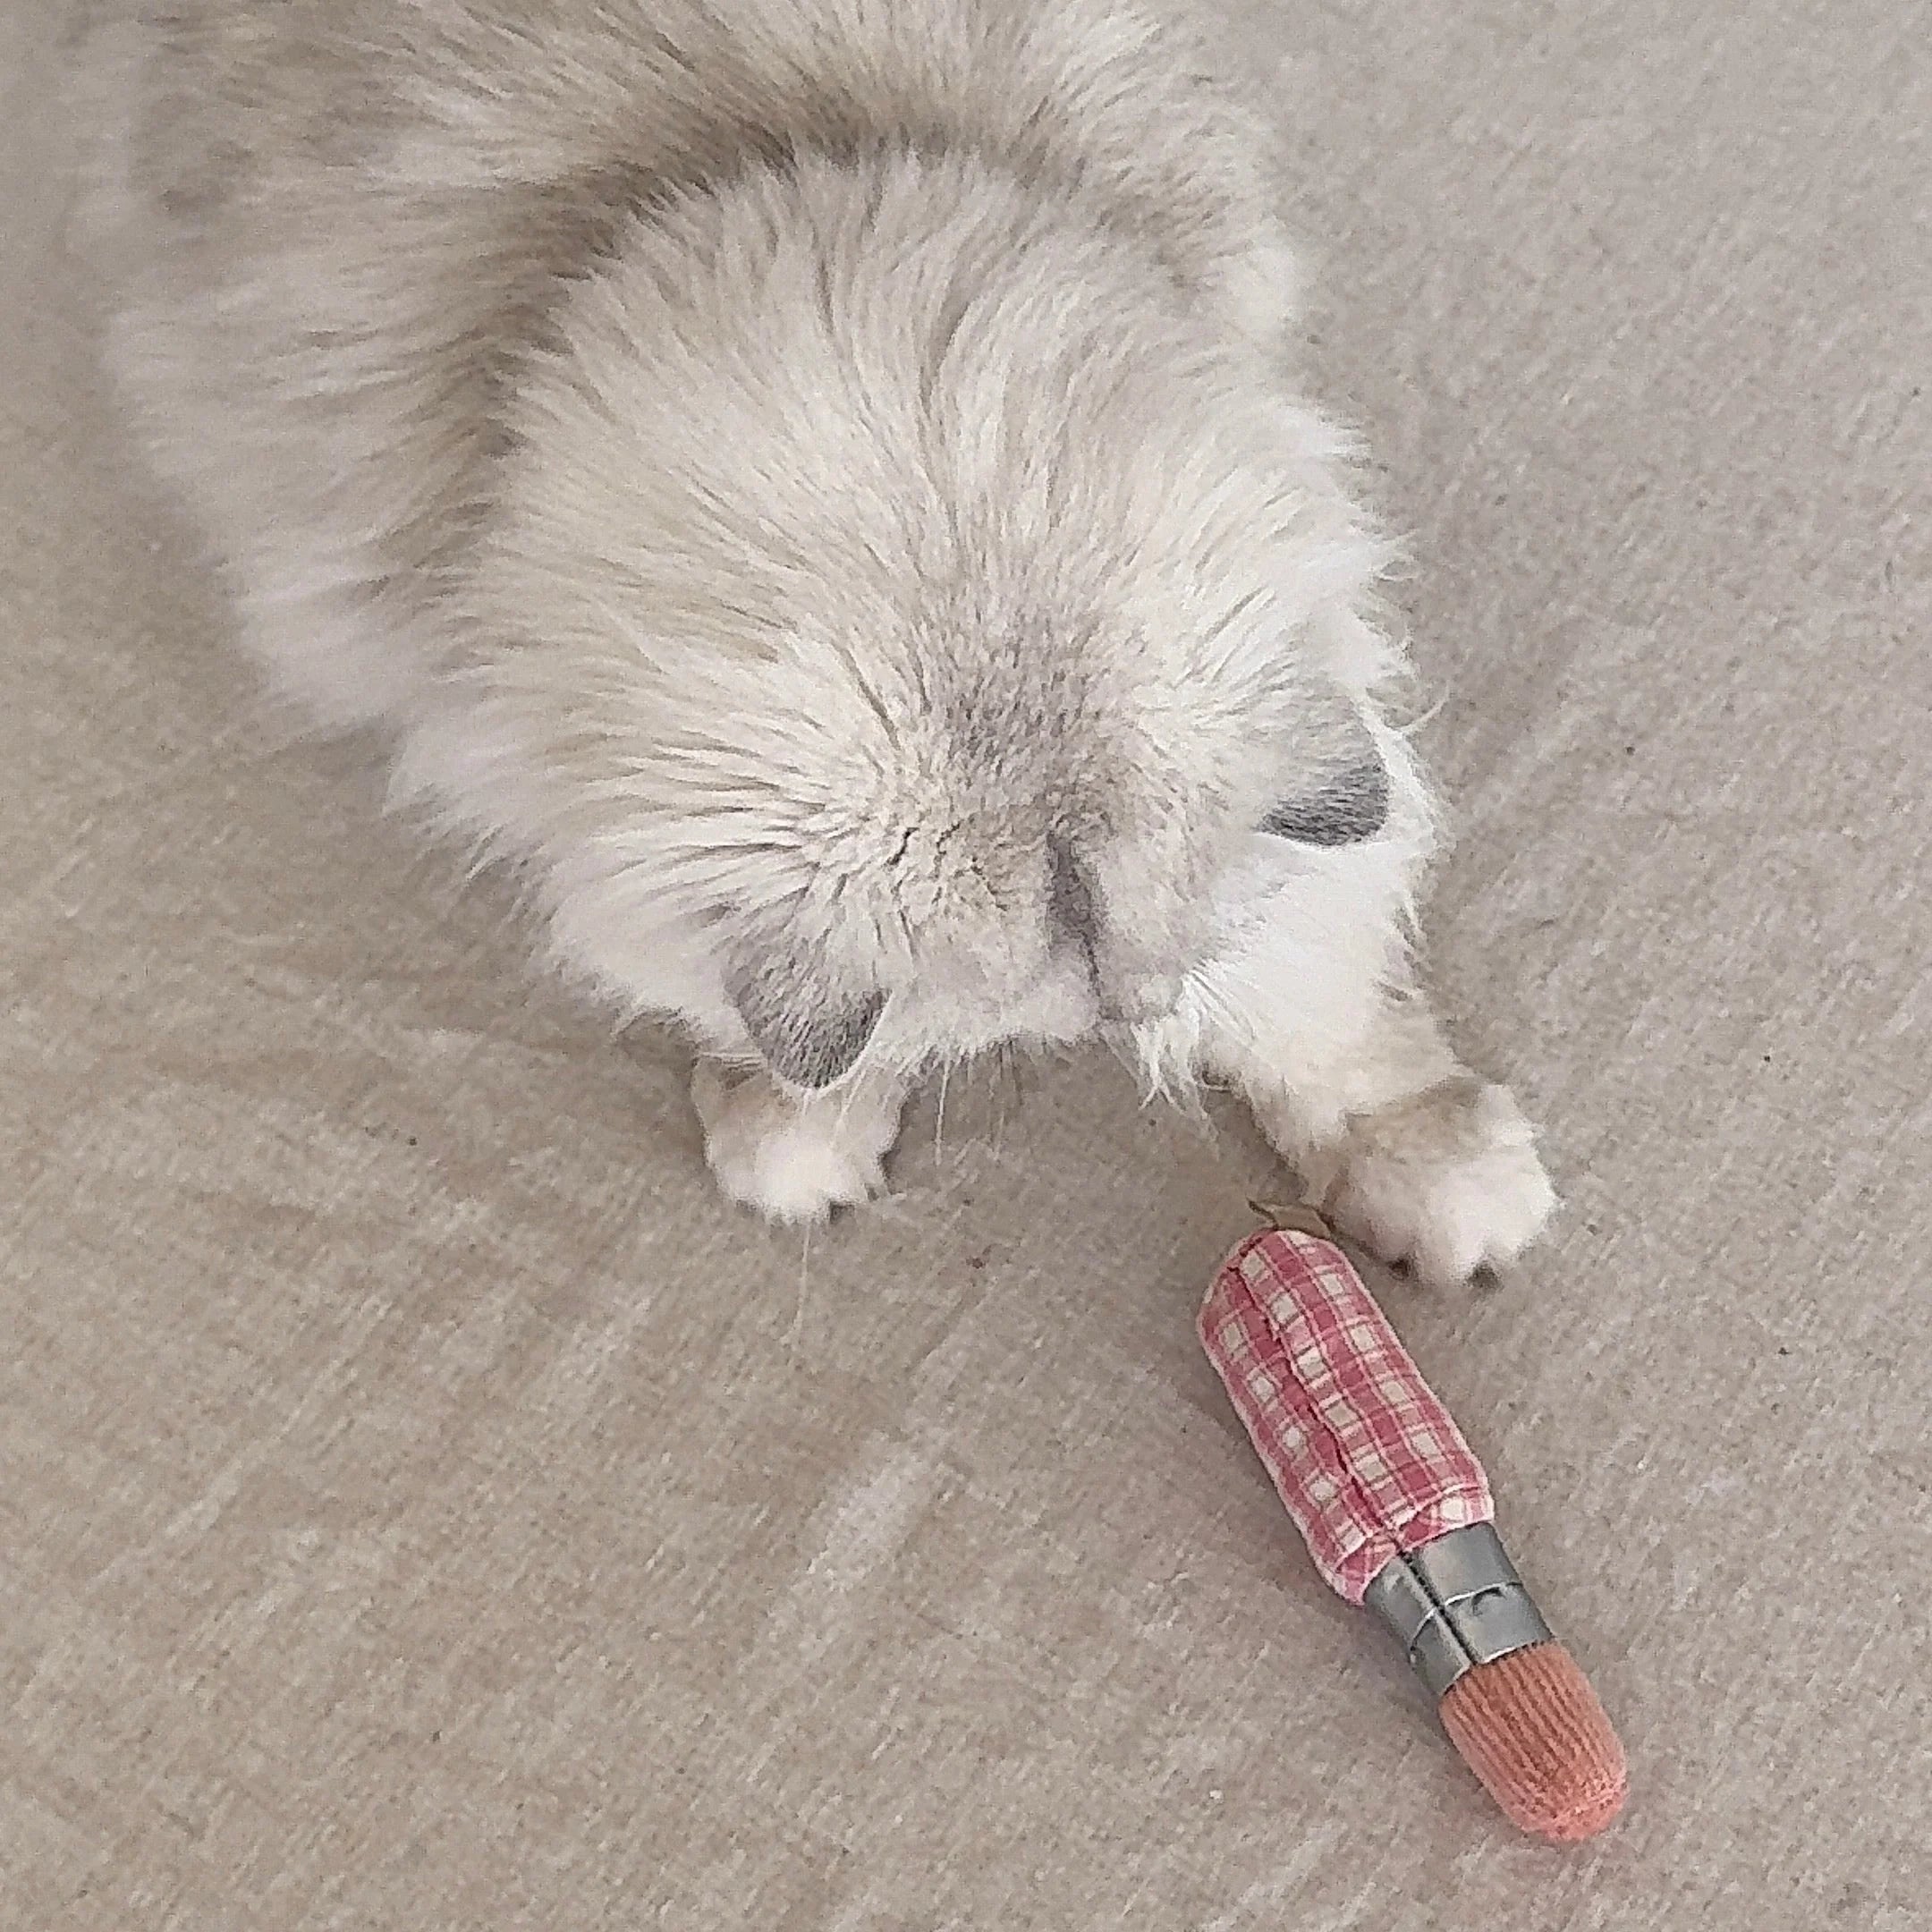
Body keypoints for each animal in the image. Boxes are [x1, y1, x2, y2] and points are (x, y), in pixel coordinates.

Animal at [75, 0, 1554, 1284]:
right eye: (1026, 1018)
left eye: (1128, 1000)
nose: (1129, 1026)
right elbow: (776, 1026)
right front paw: (800, 1135)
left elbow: (1324, 1009)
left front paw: (1423, 1162)